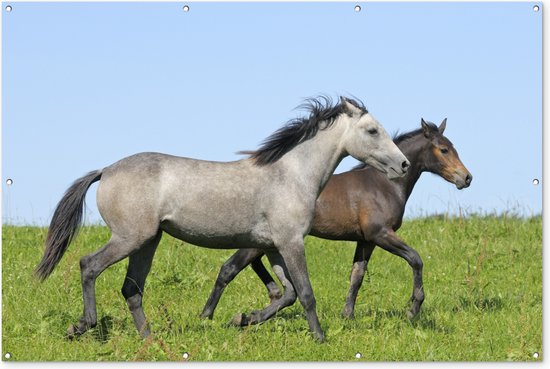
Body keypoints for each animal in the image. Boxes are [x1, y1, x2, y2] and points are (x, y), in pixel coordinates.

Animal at [34, 96, 412, 340]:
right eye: (372, 130)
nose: (404, 164)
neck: (290, 174)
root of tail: (107, 170)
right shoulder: (291, 242)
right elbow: (305, 292)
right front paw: (319, 338)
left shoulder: (273, 247)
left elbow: (286, 294)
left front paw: (243, 319)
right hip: (130, 238)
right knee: (89, 265)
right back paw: (82, 326)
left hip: (148, 242)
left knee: (131, 289)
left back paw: (150, 339)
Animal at [201, 118, 472, 324]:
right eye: (444, 149)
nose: (466, 178)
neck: (383, 184)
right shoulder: (380, 234)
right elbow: (416, 259)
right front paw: (413, 308)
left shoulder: (366, 241)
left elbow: (357, 276)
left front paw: (347, 315)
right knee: (230, 268)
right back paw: (214, 316)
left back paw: (266, 300)